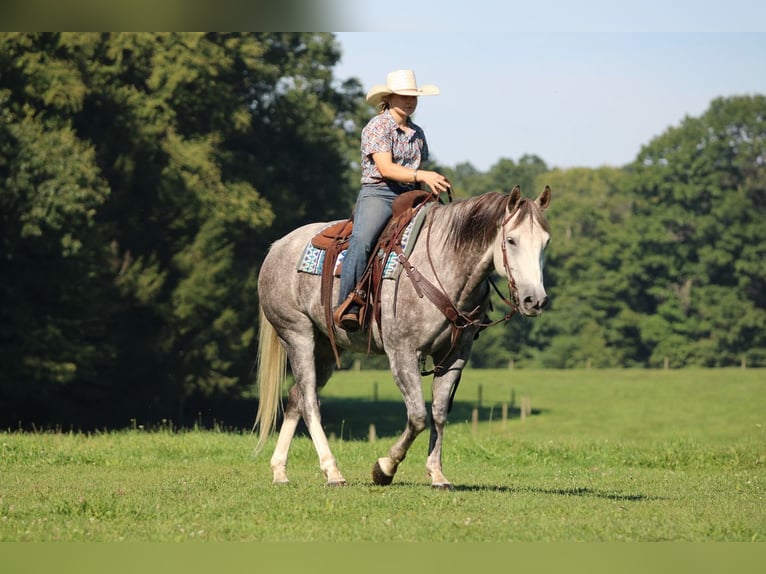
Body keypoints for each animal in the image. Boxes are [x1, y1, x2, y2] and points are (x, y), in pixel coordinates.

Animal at [254, 185, 551, 488]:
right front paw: (384, 468)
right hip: (298, 335)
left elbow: (439, 413)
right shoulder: (402, 352)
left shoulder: (454, 356)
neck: (443, 267)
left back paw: (279, 470)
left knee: (297, 397)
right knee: (310, 402)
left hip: (325, 347)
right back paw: (332, 470)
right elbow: (418, 416)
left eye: (546, 242)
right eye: (511, 240)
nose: (535, 300)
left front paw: (437, 474)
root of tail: (277, 247)